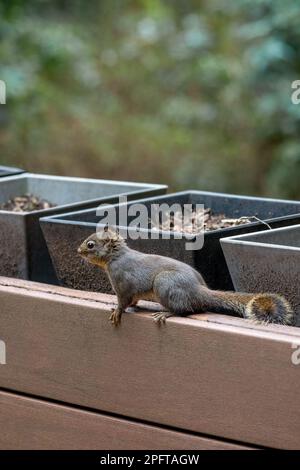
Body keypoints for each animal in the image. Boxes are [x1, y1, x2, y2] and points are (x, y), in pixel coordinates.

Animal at [77, 229, 296, 326]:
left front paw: (117, 311)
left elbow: (123, 301)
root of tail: (199, 291)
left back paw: (166, 314)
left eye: (90, 244)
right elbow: (134, 300)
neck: (116, 257)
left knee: (184, 310)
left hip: (164, 284)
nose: (78, 250)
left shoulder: (122, 282)